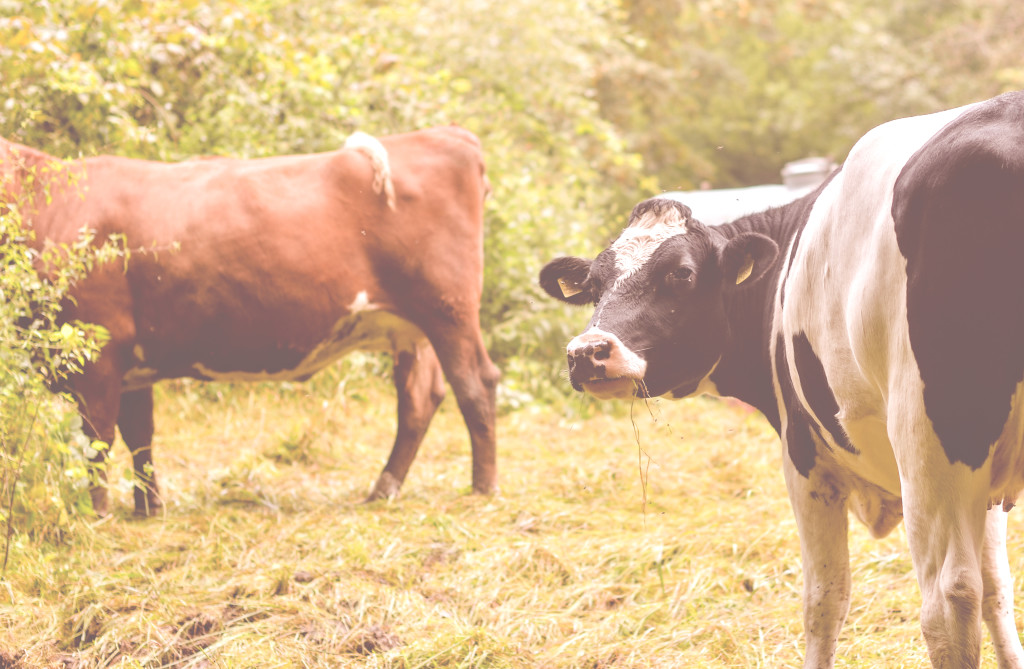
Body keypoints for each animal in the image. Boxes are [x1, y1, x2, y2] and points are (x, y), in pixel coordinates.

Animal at [1, 128, 499, 514]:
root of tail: (448, 135)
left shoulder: (97, 348)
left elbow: (98, 438)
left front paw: (98, 514)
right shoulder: (131, 360)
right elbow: (139, 435)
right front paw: (148, 507)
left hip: (449, 310)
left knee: (475, 383)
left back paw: (483, 487)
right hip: (412, 328)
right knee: (420, 397)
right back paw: (384, 488)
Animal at [540, 90, 1024, 667]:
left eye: (680, 273)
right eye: (593, 286)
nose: (586, 352)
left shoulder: (805, 456)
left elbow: (824, 599)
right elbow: (999, 591)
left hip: (932, 433)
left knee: (948, 601)